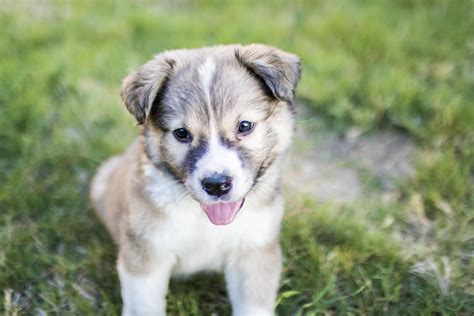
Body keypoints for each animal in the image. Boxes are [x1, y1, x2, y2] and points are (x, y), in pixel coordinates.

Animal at [90, 43, 300, 314]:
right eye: (181, 133)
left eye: (244, 126)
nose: (217, 185)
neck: (203, 217)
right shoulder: (145, 254)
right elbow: (145, 305)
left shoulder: (255, 251)